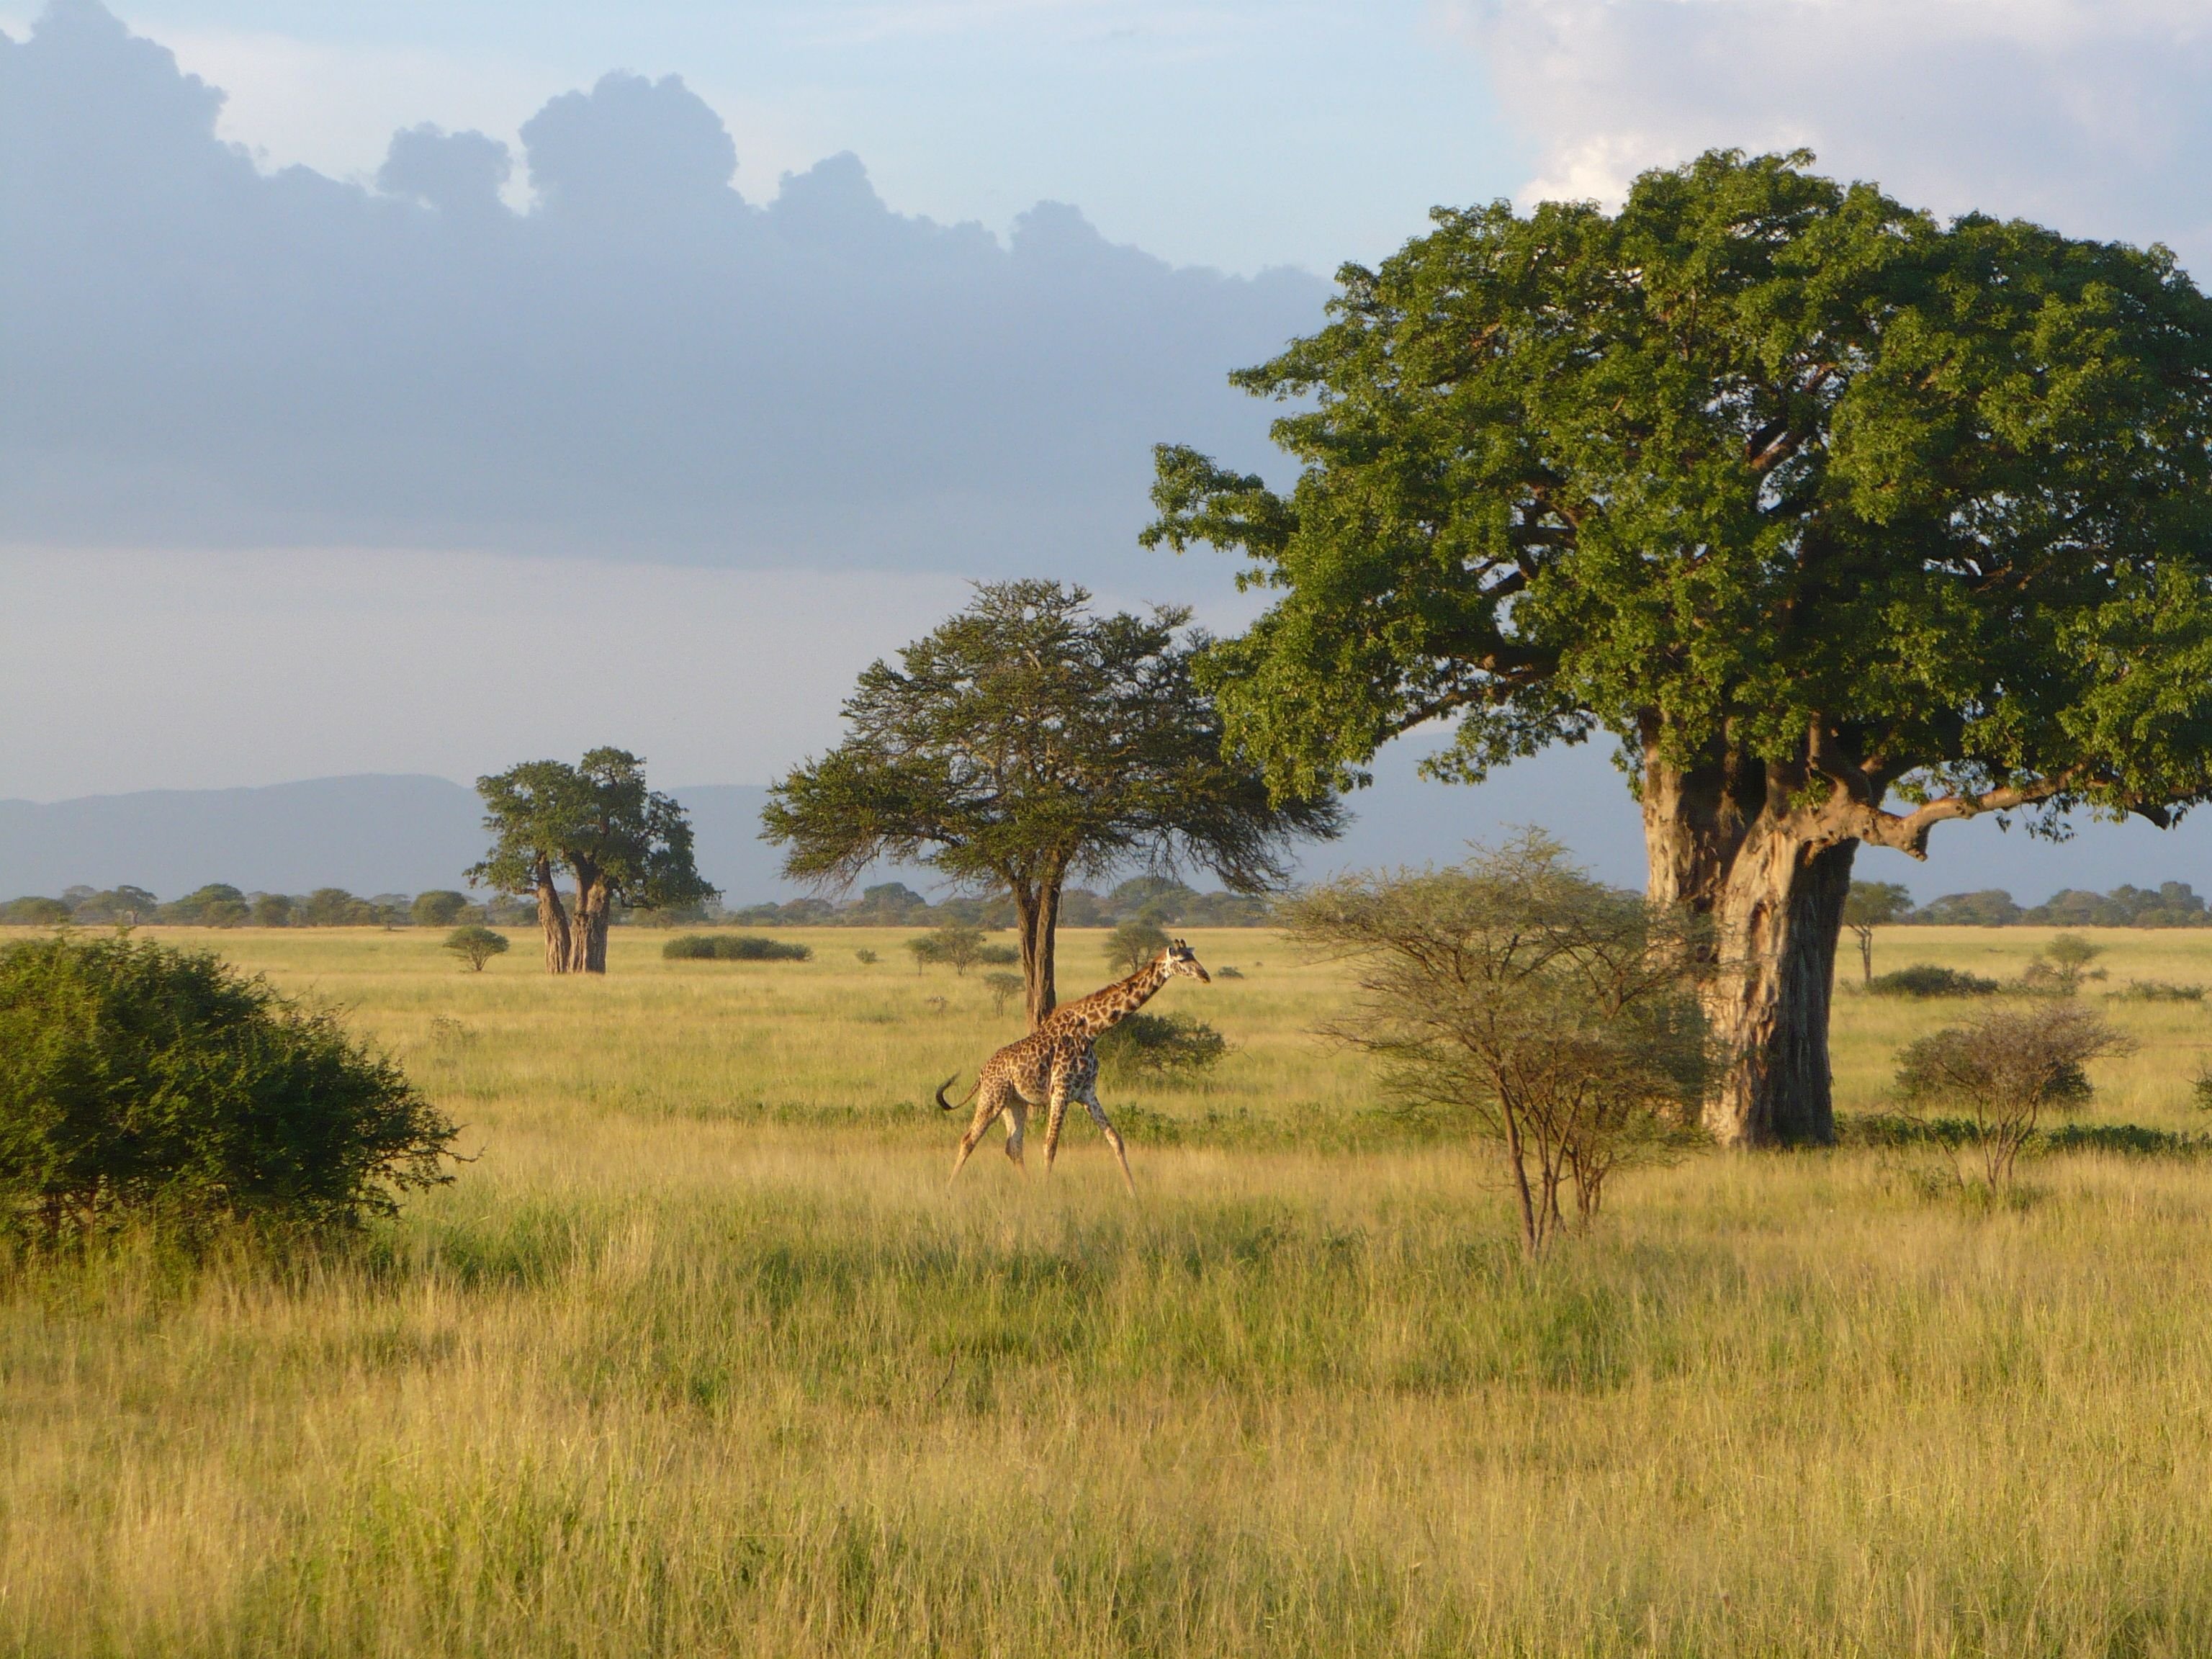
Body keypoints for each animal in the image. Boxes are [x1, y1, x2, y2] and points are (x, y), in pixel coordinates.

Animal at [933, 938, 1212, 1194]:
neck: (1091, 1030)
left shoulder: (1087, 1093)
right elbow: (1050, 1145)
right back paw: (948, 1189)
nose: (1205, 976)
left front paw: (1133, 1191)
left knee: (1013, 1146)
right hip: (994, 1097)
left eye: (1193, 956)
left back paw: (1028, 1187)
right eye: (1182, 959)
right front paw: (1046, 1192)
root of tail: (983, 1072)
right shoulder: (1062, 1091)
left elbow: (1116, 1139)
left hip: (1015, 1104)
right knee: (969, 1139)